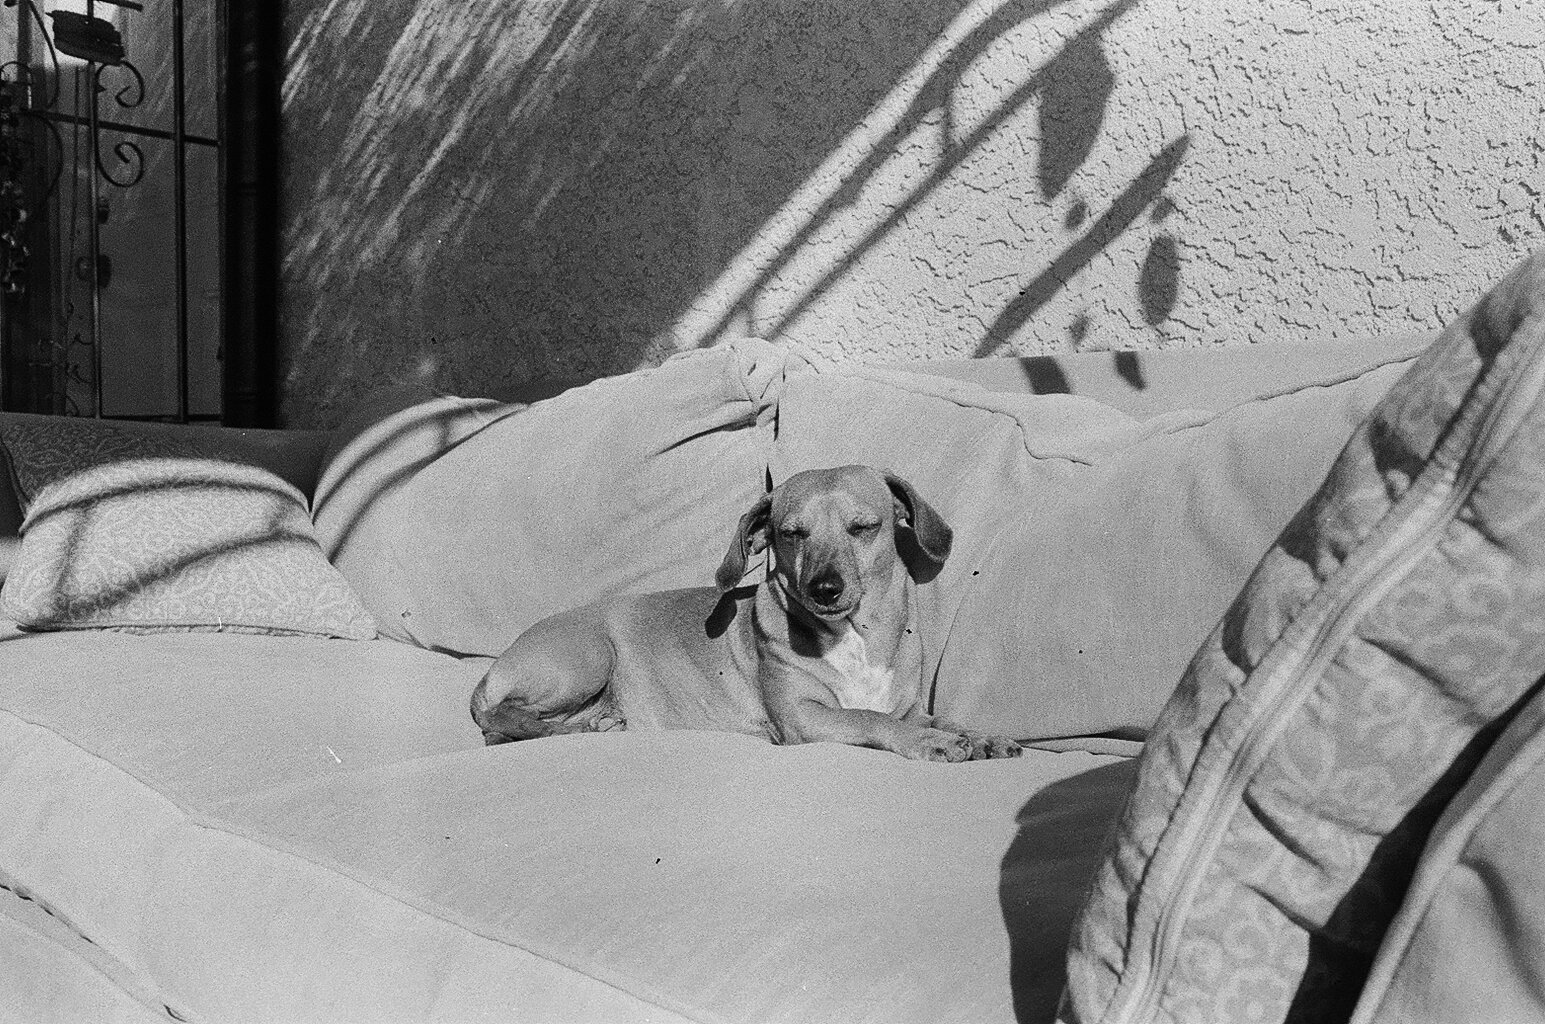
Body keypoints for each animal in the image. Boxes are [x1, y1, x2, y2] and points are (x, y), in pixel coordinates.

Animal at [469, 463, 1025, 759]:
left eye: (864, 528)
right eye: (791, 533)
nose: (824, 589)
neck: (853, 636)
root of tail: (494, 670)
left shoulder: (909, 706)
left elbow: (940, 716)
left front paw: (981, 736)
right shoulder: (805, 718)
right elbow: (870, 718)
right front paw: (930, 742)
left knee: (502, 728)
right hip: (588, 657)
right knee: (504, 717)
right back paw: (576, 730)